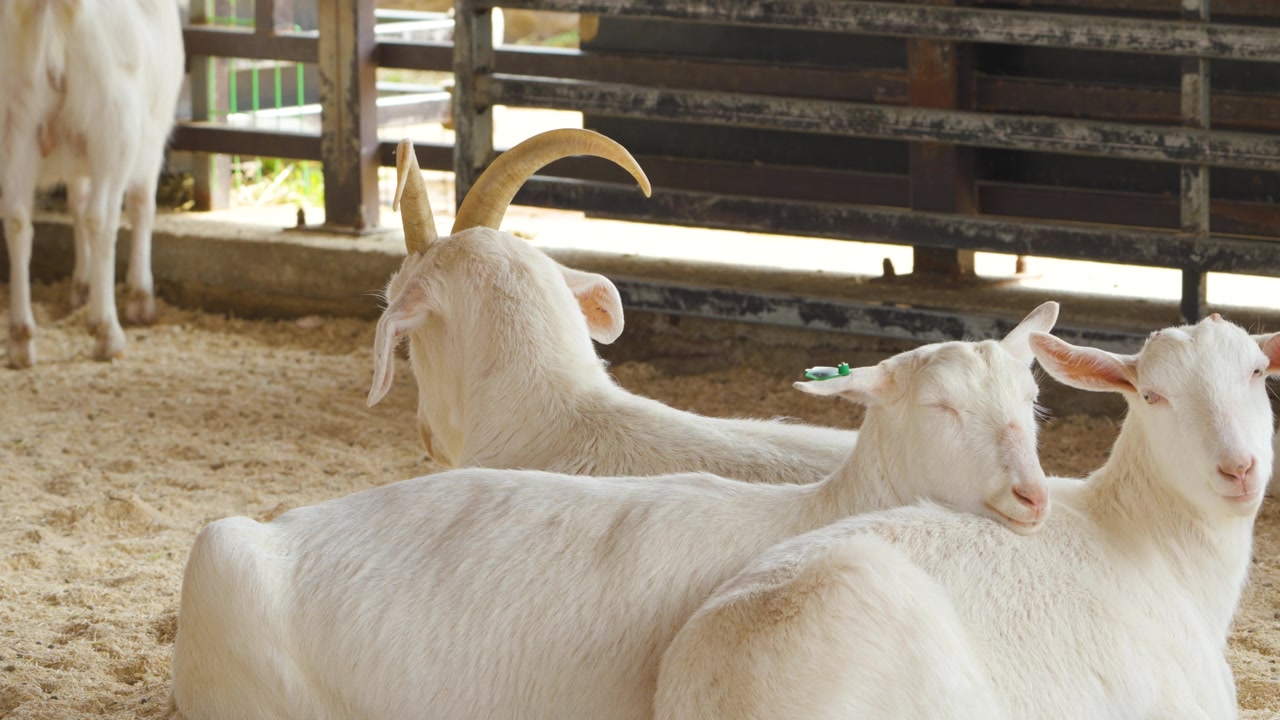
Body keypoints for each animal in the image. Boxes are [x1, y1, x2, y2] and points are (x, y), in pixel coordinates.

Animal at [1, 0, 183, 367]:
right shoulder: (151, 138)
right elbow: (142, 206)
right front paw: (141, 298)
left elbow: (76, 201)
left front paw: (81, 286)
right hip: (113, 127)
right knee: (101, 219)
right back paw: (107, 331)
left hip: (14, 122)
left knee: (16, 220)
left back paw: (20, 337)